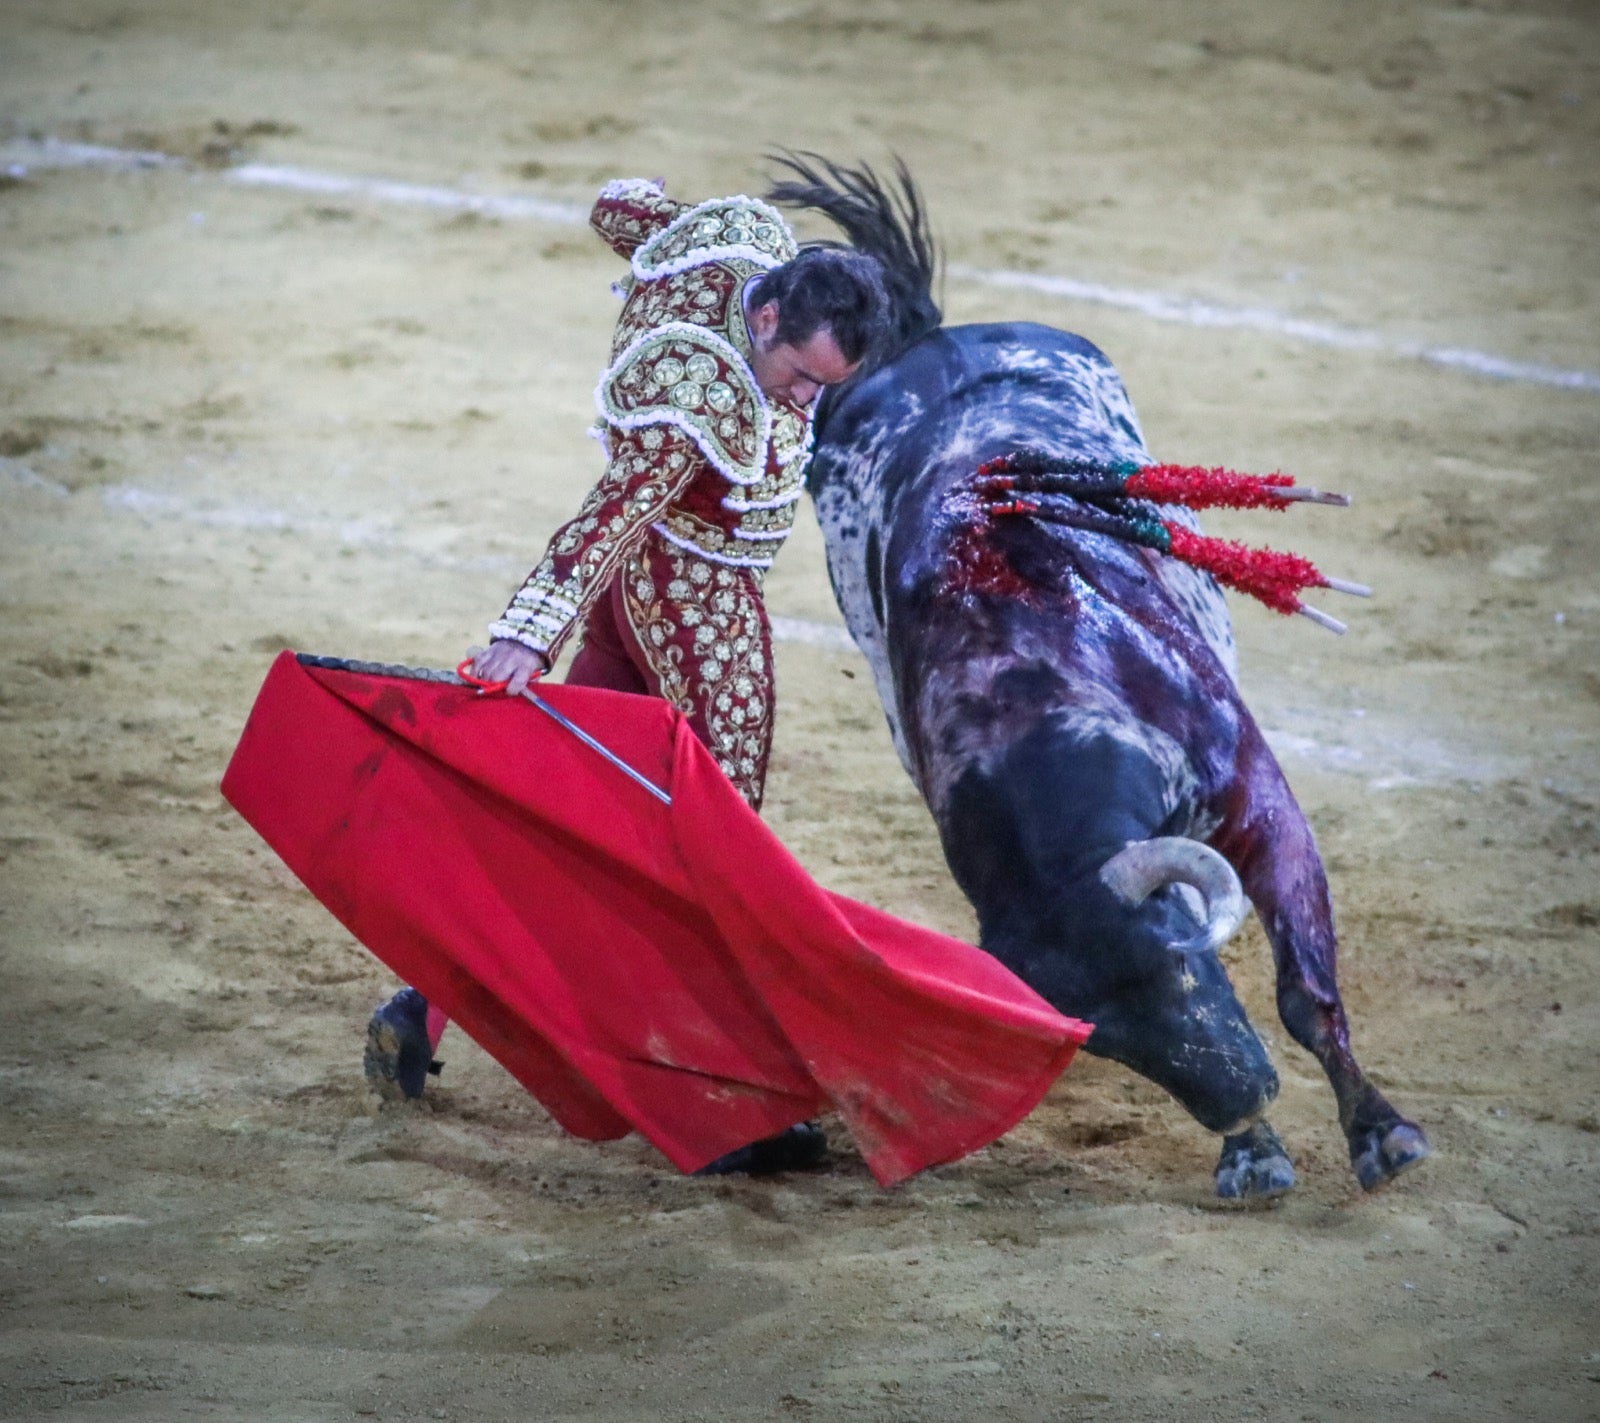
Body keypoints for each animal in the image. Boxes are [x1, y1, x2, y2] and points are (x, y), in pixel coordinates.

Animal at [768, 158, 1433, 1197]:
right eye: (1109, 1045)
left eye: (1180, 964)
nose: (1241, 1097)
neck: (1026, 699)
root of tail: (926, 338)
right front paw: (1253, 1155)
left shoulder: (1261, 799)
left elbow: (1304, 994)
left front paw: (1382, 1134)